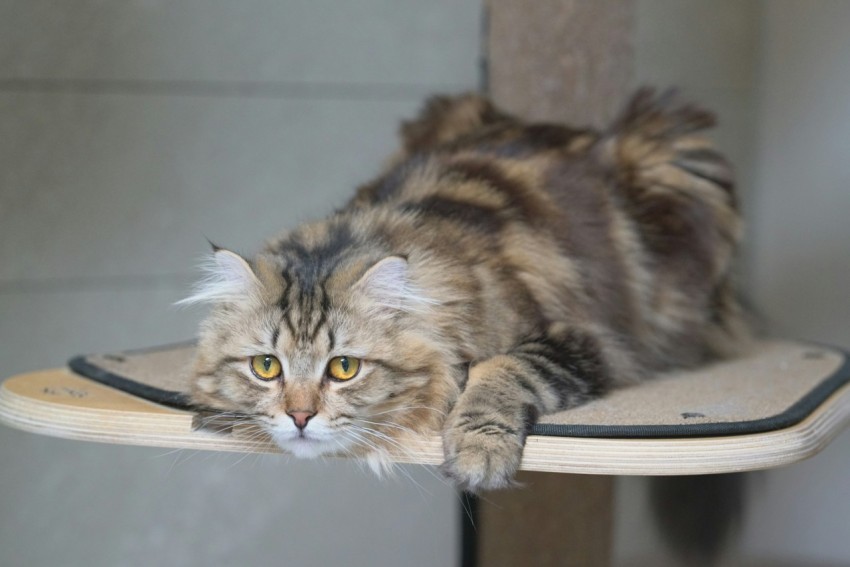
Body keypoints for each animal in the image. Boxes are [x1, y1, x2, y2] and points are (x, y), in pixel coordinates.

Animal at [184, 89, 748, 492]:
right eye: (266, 367)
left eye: (344, 368)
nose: (299, 417)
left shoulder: (583, 339)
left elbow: (503, 370)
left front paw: (478, 454)